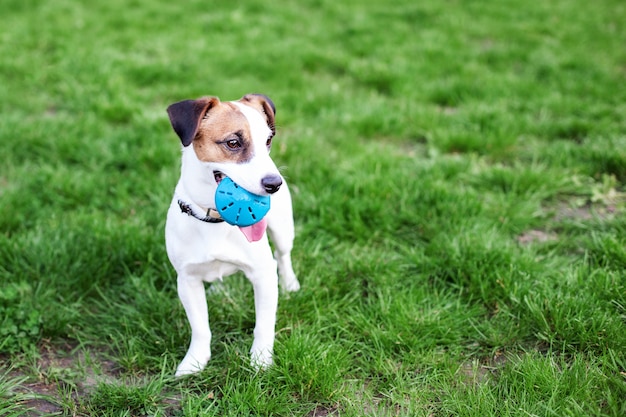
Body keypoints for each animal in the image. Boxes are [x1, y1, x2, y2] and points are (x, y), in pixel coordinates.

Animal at [163, 92, 300, 376]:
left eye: (268, 140)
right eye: (233, 143)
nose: (275, 184)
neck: (215, 220)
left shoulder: (263, 275)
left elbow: (264, 326)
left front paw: (261, 361)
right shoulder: (187, 279)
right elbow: (200, 328)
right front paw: (194, 362)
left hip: (283, 230)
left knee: (284, 256)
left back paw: (291, 283)